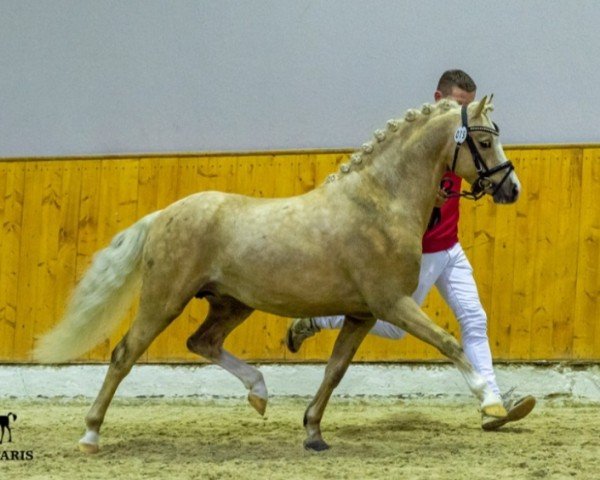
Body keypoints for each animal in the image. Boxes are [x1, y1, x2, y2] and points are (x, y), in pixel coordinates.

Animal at [34, 96, 520, 454]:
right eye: (483, 140)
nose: (510, 188)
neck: (381, 202)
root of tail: (162, 216)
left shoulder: (362, 315)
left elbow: (335, 371)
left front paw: (313, 433)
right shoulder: (391, 304)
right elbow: (449, 343)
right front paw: (492, 404)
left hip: (232, 303)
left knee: (201, 342)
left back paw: (260, 392)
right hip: (164, 299)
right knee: (124, 354)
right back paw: (90, 435)